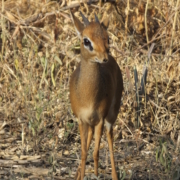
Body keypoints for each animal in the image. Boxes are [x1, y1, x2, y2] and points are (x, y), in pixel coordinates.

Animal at [69, 11, 123, 180]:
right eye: (86, 40)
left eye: (107, 38)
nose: (104, 57)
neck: (89, 97)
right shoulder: (81, 119)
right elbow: (84, 152)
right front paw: (82, 174)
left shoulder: (100, 119)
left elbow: (95, 152)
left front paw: (96, 172)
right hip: (90, 122)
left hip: (111, 115)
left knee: (110, 138)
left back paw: (114, 175)